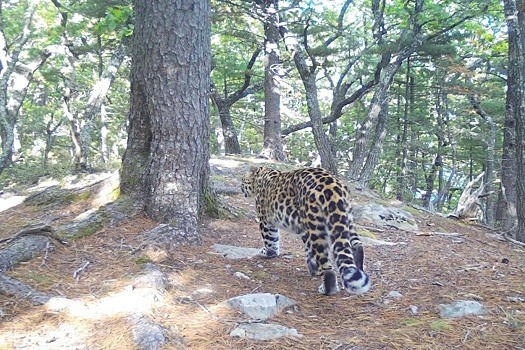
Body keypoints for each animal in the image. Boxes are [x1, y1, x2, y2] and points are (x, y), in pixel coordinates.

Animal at [239, 166, 370, 296]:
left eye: (243, 180)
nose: (240, 187)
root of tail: (332, 185)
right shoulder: (303, 229)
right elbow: (308, 250)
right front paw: (313, 268)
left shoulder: (265, 220)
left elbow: (270, 239)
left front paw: (268, 253)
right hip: (344, 219)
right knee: (356, 244)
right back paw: (357, 269)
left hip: (316, 227)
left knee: (327, 265)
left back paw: (327, 289)